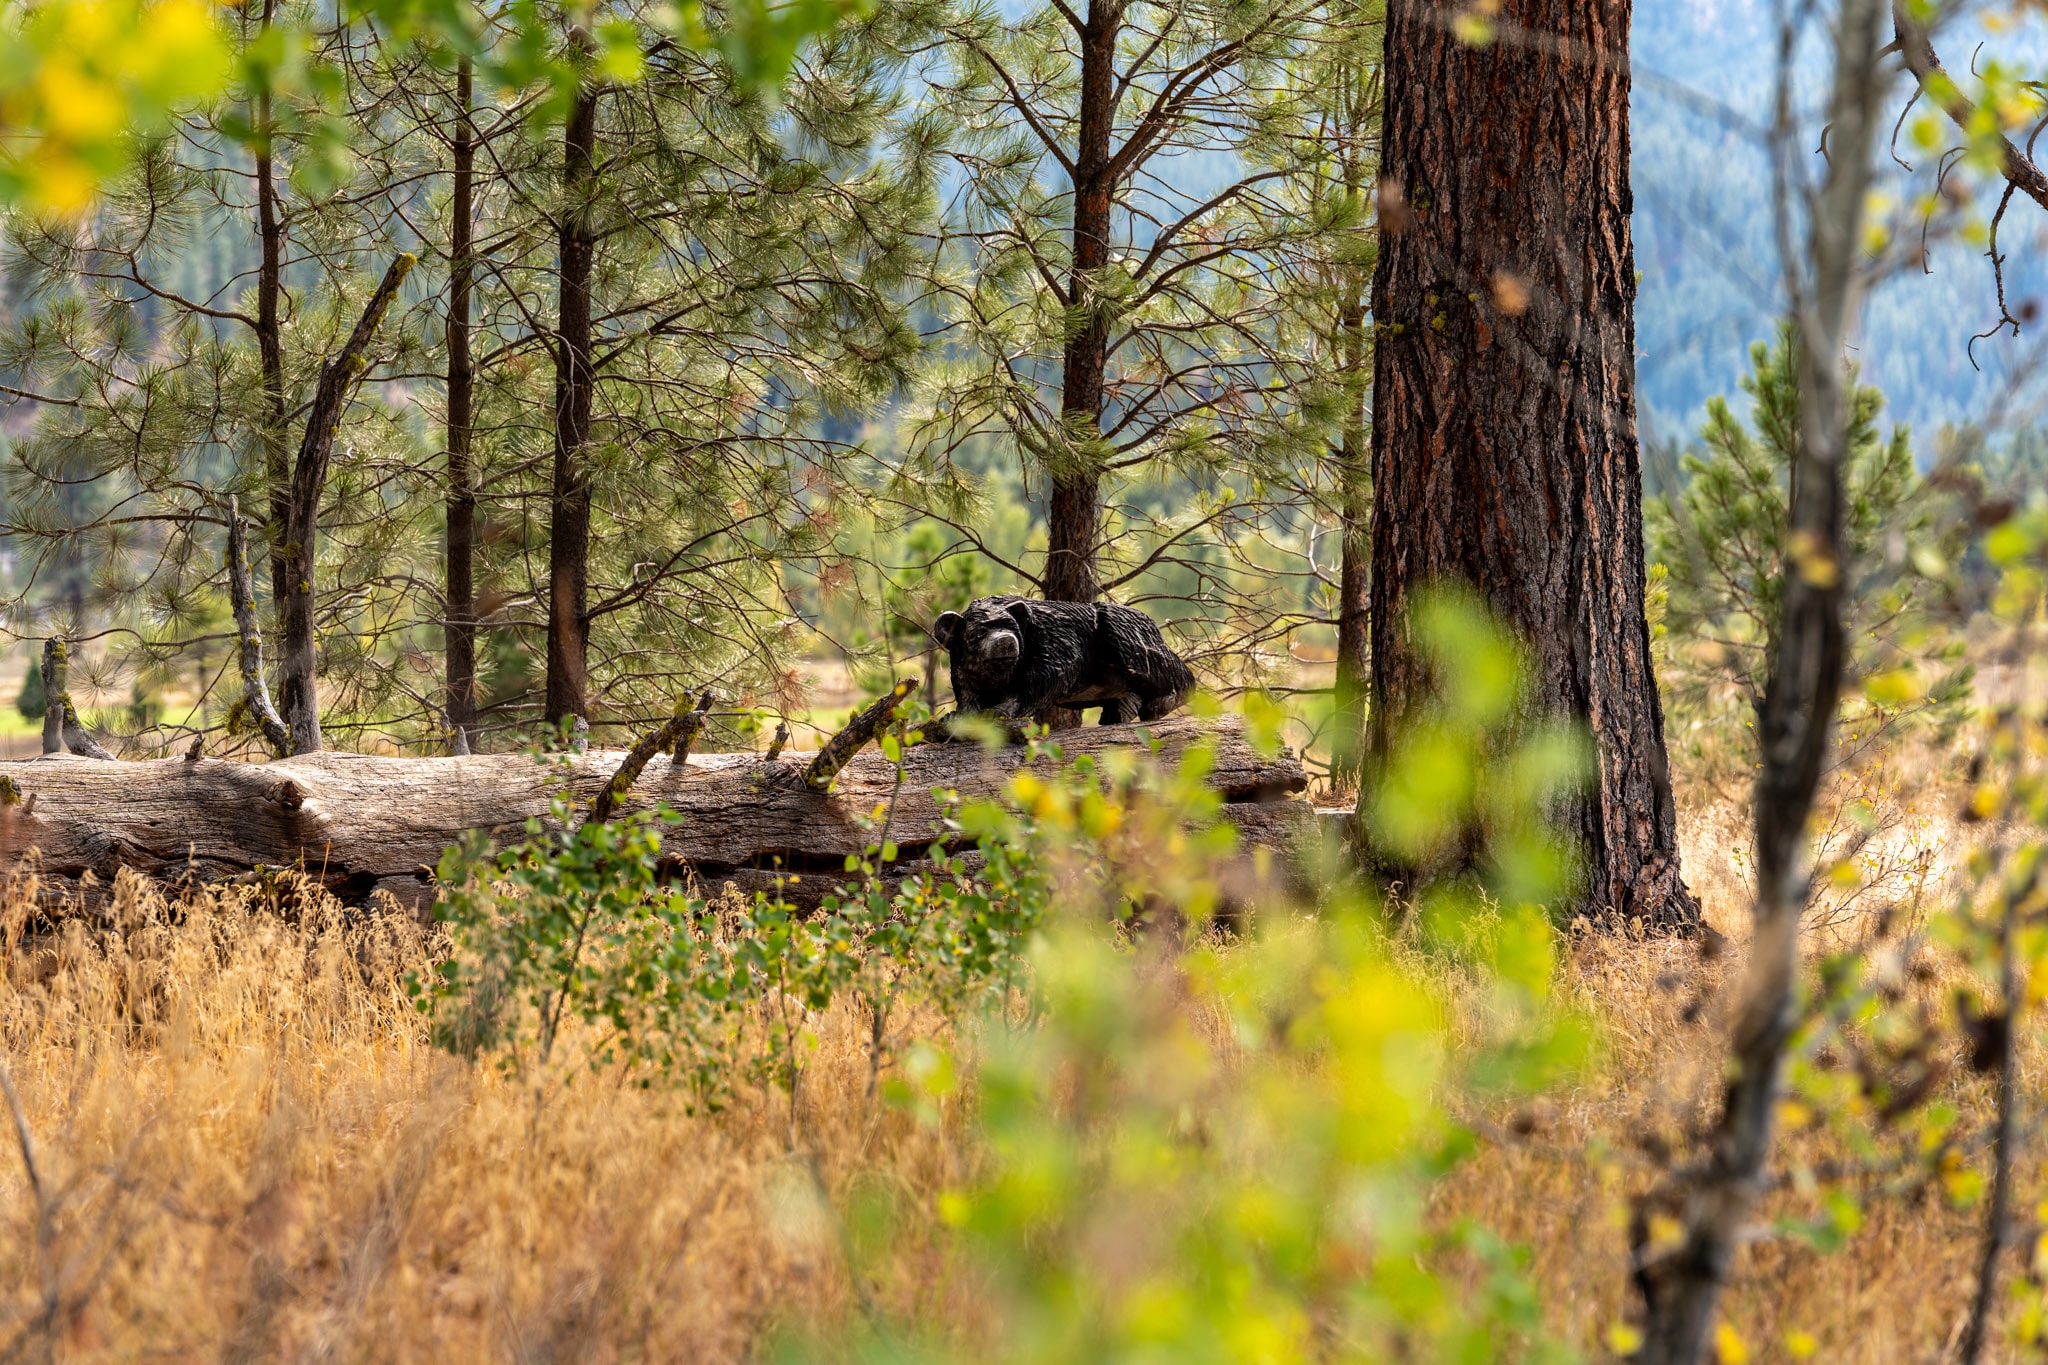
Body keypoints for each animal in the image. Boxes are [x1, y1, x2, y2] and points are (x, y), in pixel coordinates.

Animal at [930, 595, 1195, 730]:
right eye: (979, 633)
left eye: (1012, 627)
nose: (1006, 640)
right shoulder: (960, 666)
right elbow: (967, 694)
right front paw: (953, 716)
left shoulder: (1056, 639)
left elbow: (1048, 675)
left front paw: (998, 712)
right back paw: (1117, 713)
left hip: (1126, 633)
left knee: (1171, 672)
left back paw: (1159, 704)